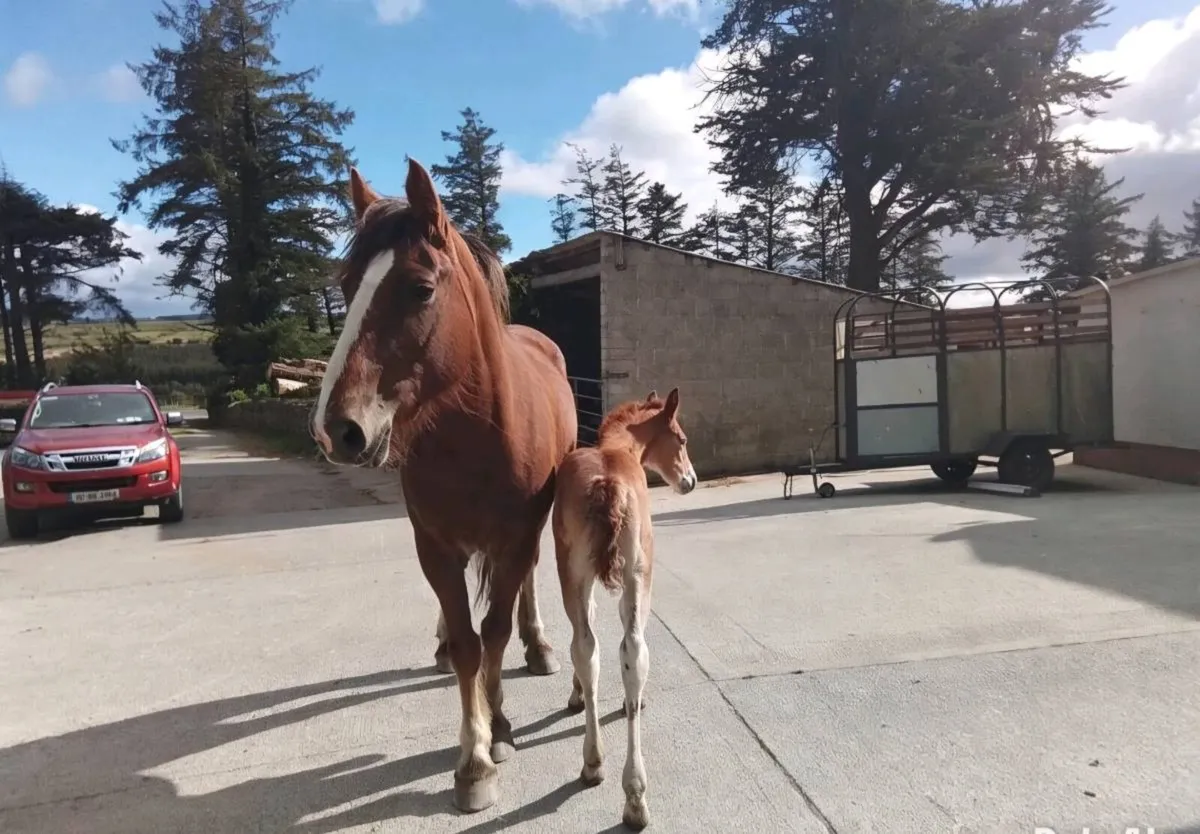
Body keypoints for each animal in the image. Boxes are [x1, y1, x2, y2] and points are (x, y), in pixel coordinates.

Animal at [311, 158, 578, 813]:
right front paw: (474, 757)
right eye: (347, 286)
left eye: (421, 288)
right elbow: (465, 644)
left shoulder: (515, 538)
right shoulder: (432, 544)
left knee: (523, 591)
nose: (336, 430)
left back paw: (539, 648)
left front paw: (498, 729)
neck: (477, 434)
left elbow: (495, 633)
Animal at [551, 387, 697, 831]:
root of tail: (608, 484)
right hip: (636, 574)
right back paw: (632, 794)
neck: (618, 448)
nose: (690, 481)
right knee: (631, 648)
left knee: (589, 646)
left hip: (576, 574)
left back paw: (600, 766)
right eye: (681, 439)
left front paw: (579, 695)